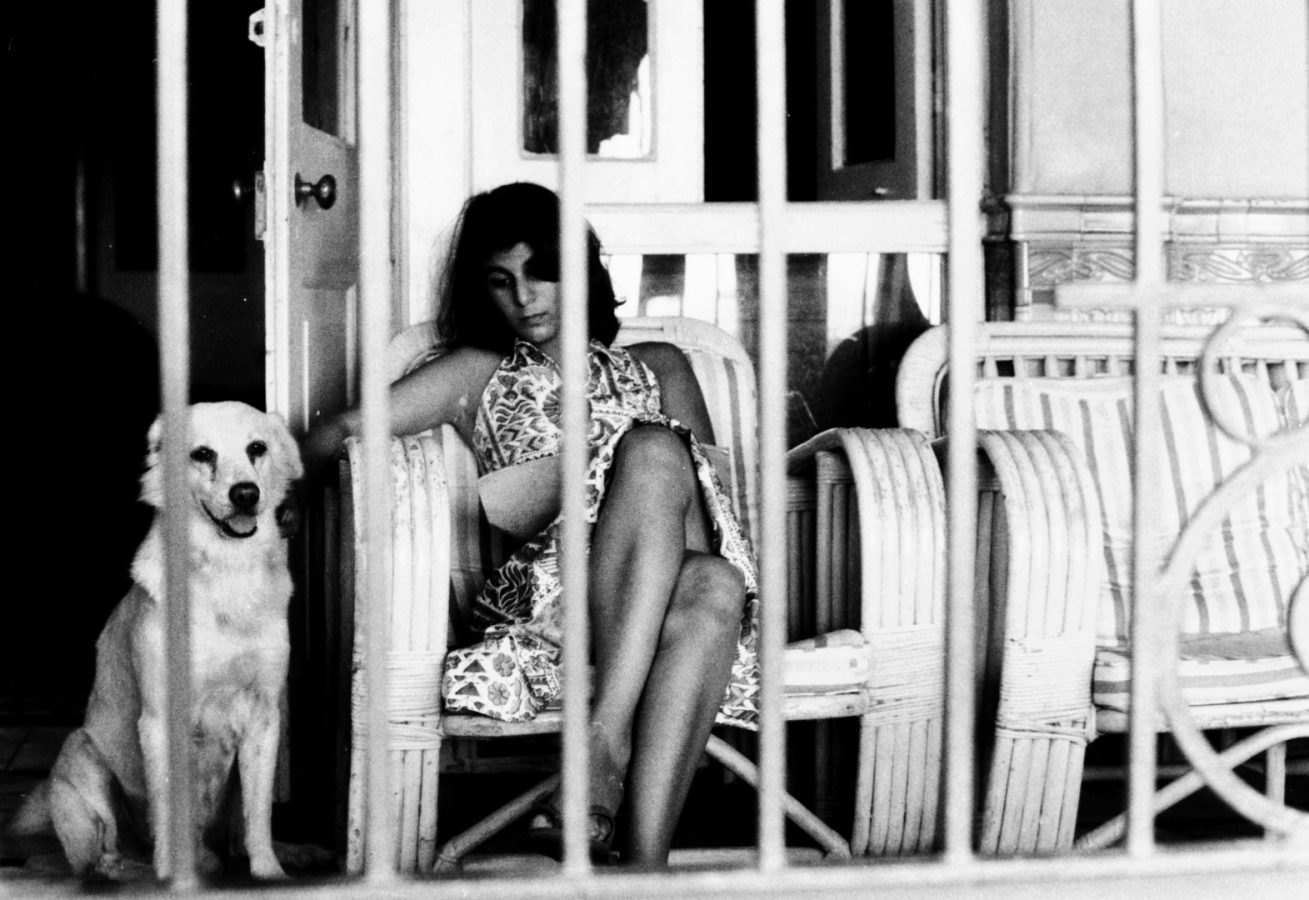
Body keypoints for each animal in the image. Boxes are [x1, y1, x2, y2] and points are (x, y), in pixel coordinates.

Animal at [10, 401, 303, 880]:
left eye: (257, 448)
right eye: (202, 454)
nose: (246, 494)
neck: (228, 573)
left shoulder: (263, 717)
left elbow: (259, 817)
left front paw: (269, 874)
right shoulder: (160, 720)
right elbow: (168, 813)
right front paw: (170, 877)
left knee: (234, 839)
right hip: (83, 753)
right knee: (95, 854)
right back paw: (119, 870)